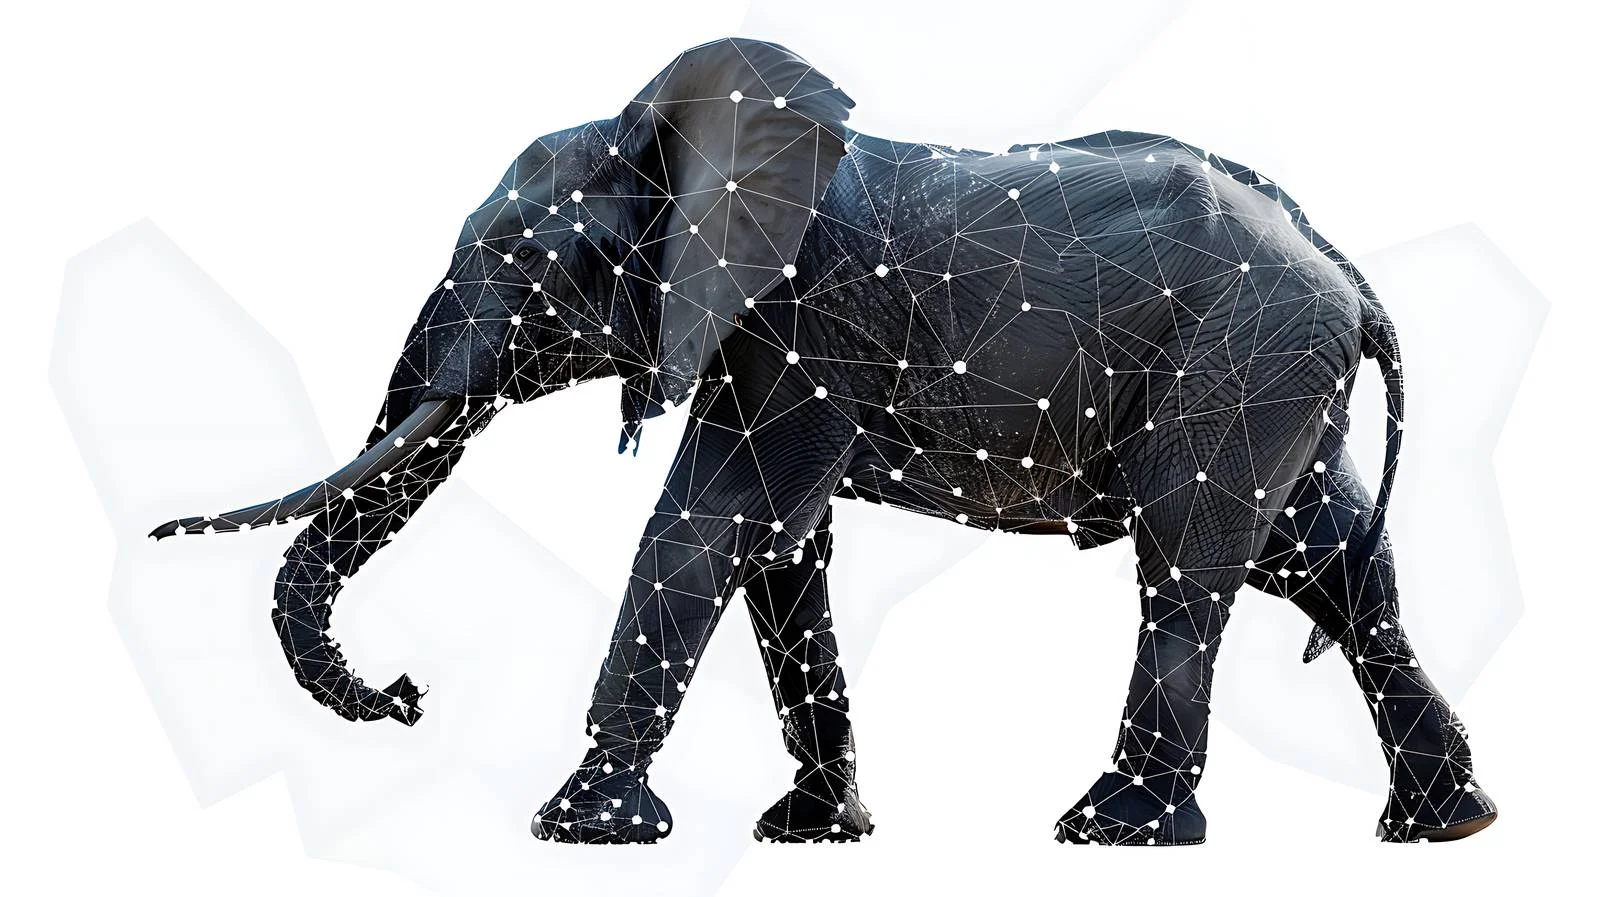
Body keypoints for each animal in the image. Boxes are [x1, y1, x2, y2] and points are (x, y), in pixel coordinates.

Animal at [151, 37, 1496, 846]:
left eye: (523, 263)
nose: (409, 695)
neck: (685, 134)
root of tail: (1344, 273)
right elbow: (784, 551)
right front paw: (810, 834)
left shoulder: (797, 320)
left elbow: (713, 520)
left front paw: (581, 832)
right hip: (1265, 381)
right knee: (1327, 564)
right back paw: (1443, 825)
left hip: (1234, 366)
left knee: (1188, 562)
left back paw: (1112, 833)